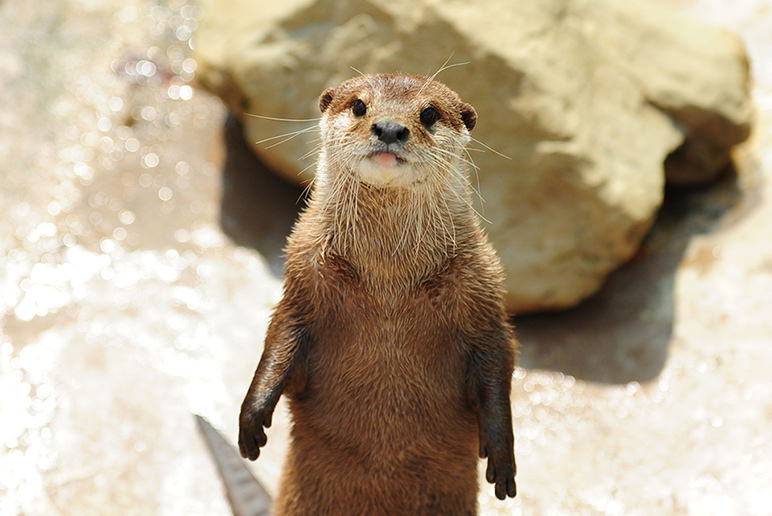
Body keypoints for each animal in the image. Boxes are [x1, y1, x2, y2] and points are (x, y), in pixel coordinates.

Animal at [238, 73, 518, 515]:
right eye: (359, 106)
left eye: (429, 113)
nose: (389, 128)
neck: (389, 281)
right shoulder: (302, 279)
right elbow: (280, 340)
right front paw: (253, 416)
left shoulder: (482, 293)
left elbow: (497, 362)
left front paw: (502, 454)